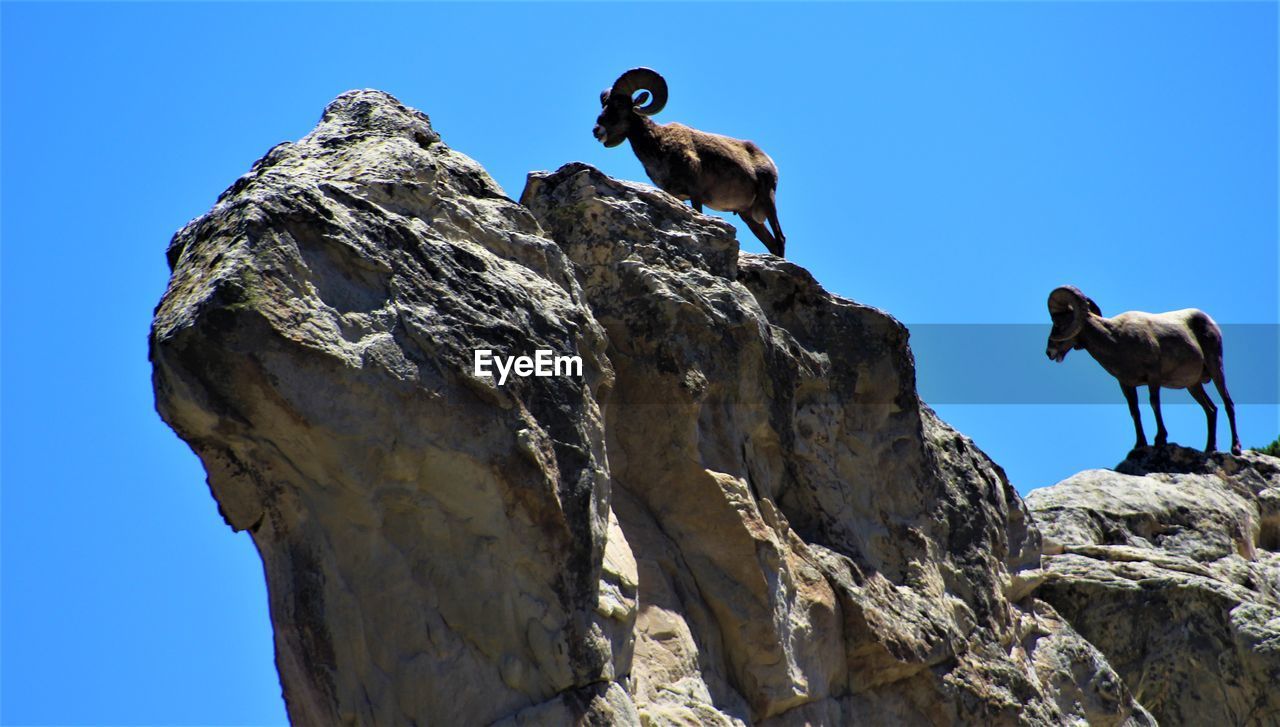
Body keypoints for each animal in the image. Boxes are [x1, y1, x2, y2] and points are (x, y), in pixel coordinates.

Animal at [591, 65, 788, 258]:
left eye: (619, 104)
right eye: (605, 104)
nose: (597, 130)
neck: (659, 145)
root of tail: (769, 162)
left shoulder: (695, 194)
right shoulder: (676, 195)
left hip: (768, 199)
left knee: (780, 239)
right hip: (747, 215)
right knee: (772, 243)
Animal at [1039, 285, 1239, 450]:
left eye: (1058, 322)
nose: (1049, 352)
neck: (1117, 340)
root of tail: (1210, 321)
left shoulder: (1153, 377)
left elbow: (1154, 403)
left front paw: (1160, 439)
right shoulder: (1126, 384)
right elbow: (1134, 411)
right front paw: (1140, 444)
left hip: (1216, 368)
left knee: (1228, 403)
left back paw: (1235, 448)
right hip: (1193, 385)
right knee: (1211, 410)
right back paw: (1210, 449)